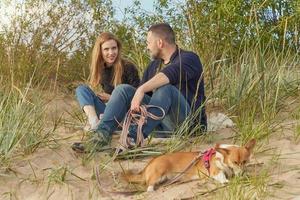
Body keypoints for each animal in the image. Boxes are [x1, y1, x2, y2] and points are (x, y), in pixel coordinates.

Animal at [122, 139, 255, 192]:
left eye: (245, 161)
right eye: (234, 162)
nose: (242, 173)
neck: (222, 158)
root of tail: (151, 161)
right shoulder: (215, 171)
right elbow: (221, 175)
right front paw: (226, 181)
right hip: (158, 173)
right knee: (148, 184)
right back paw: (151, 190)